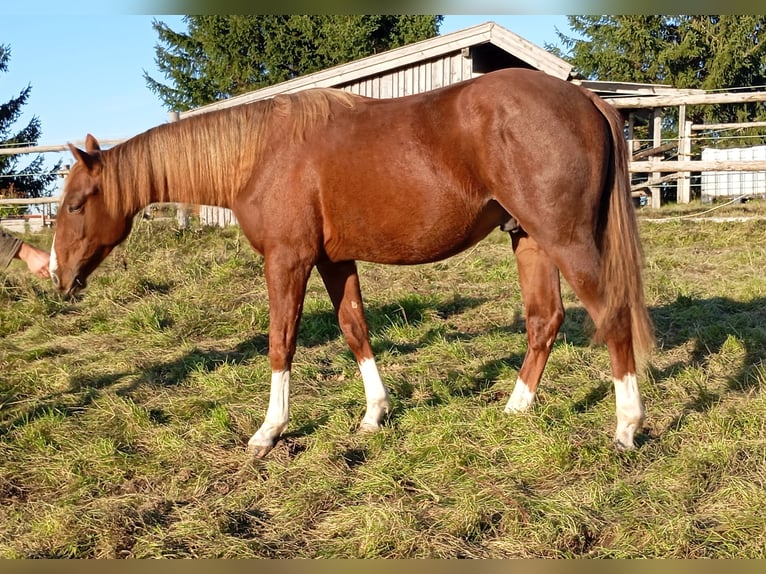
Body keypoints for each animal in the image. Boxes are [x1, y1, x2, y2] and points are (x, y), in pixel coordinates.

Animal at [50, 68, 654, 458]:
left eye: (77, 204)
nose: (57, 276)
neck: (261, 155)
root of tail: (587, 100)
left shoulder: (287, 261)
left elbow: (281, 342)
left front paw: (269, 431)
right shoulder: (333, 262)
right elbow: (354, 328)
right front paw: (374, 414)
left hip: (566, 240)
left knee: (612, 315)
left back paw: (627, 426)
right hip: (528, 239)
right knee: (544, 320)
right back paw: (515, 409)